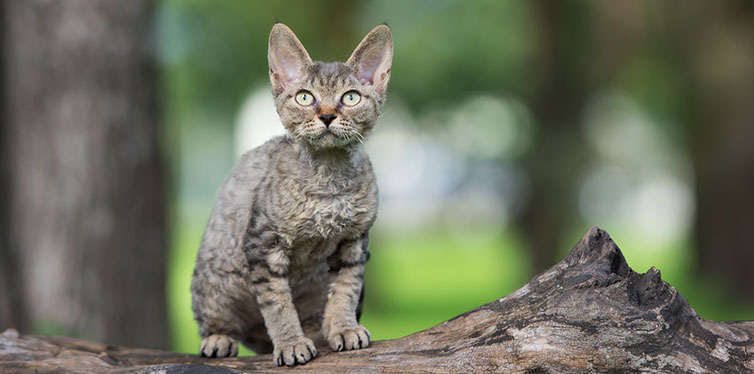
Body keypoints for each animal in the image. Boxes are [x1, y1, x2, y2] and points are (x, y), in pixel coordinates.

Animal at [189, 21, 394, 366]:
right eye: (305, 97)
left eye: (351, 97)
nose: (327, 115)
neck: (328, 181)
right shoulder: (263, 245)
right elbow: (277, 304)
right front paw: (290, 343)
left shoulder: (354, 244)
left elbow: (346, 290)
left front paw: (343, 328)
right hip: (214, 279)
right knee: (219, 321)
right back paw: (219, 339)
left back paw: (319, 333)